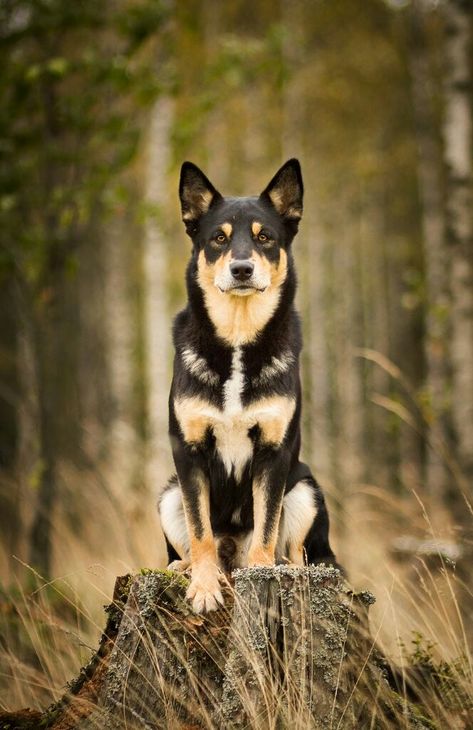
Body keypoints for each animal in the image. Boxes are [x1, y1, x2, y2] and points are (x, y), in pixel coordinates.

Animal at [159, 156, 336, 612]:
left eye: (265, 237)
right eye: (219, 238)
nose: (242, 269)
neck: (238, 337)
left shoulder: (274, 452)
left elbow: (266, 525)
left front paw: (262, 574)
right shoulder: (187, 452)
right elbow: (200, 531)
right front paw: (204, 588)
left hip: (306, 489)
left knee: (294, 551)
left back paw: (283, 568)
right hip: (168, 494)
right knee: (195, 543)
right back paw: (185, 567)